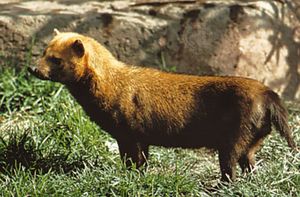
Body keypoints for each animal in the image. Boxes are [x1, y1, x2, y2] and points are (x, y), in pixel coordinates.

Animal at [29, 30, 296, 182]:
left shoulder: (129, 134)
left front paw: (133, 179)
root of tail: (268, 94)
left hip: (232, 141)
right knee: (250, 166)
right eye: (43, 51)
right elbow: (138, 161)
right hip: (252, 142)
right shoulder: (133, 137)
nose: (33, 69)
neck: (113, 85)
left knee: (230, 171)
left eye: (55, 59)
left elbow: (135, 161)